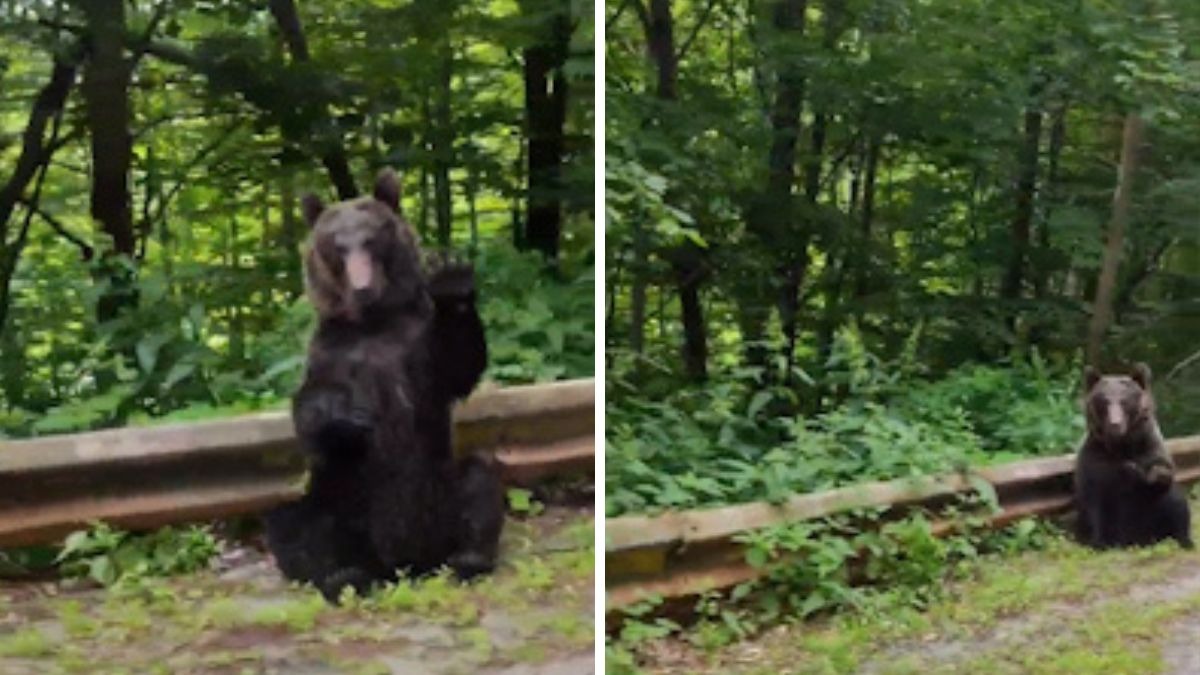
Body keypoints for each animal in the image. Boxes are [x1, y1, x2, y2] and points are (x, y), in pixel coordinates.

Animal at [262, 168, 506, 598]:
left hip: (440, 488)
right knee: (293, 520)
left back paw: (469, 559)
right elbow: (310, 409)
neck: (373, 320)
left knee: (479, 478)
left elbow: (457, 367)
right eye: (337, 245)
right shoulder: (331, 350)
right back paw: (342, 576)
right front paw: (340, 414)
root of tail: (401, 566)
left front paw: (452, 281)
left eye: (371, 238)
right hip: (340, 499)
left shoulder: (416, 343)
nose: (361, 286)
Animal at [1075, 362, 1195, 547]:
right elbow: (1096, 501)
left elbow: (1162, 476)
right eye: (1104, 401)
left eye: (1124, 401)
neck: (1122, 446)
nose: (1115, 424)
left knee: (1177, 504)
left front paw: (1140, 471)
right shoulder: (1096, 460)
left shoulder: (1150, 448)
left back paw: (1185, 540)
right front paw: (1099, 542)